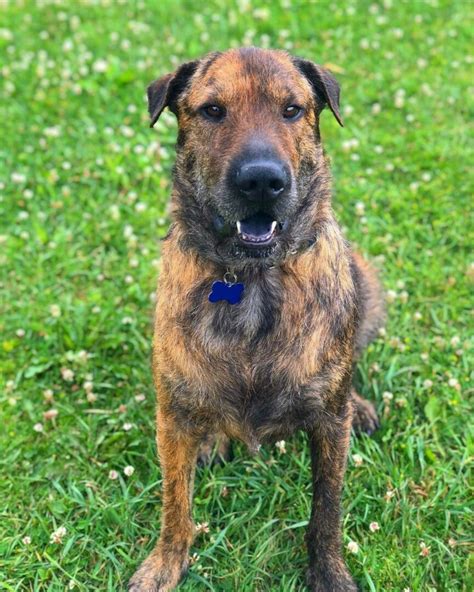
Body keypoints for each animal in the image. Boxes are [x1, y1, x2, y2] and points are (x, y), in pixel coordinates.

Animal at [130, 47, 386, 592]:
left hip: (368, 287)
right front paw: (165, 564)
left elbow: (326, 510)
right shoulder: (171, 417)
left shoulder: (328, 427)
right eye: (212, 111)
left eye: (291, 110)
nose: (261, 180)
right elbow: (175, 504)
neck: (250, 278)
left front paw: (328, 572)